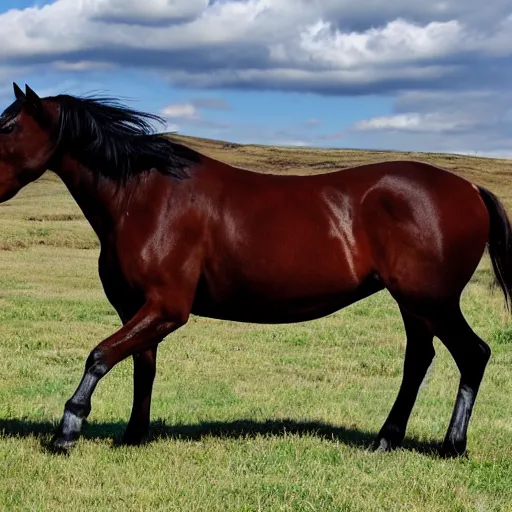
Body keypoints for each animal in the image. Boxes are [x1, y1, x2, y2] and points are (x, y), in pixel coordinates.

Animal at [0, 83, 510, 456]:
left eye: (6, 127)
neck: (145, 198)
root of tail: (469, 188)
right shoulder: (138, 310)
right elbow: (141, 367)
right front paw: (133, 436)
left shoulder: (166, 308)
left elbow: (100, 356)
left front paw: (67, 430)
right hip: (415, 304)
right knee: (420, 358)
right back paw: (386, 439)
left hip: (432, 300)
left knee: (474, 353)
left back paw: (452, 444)